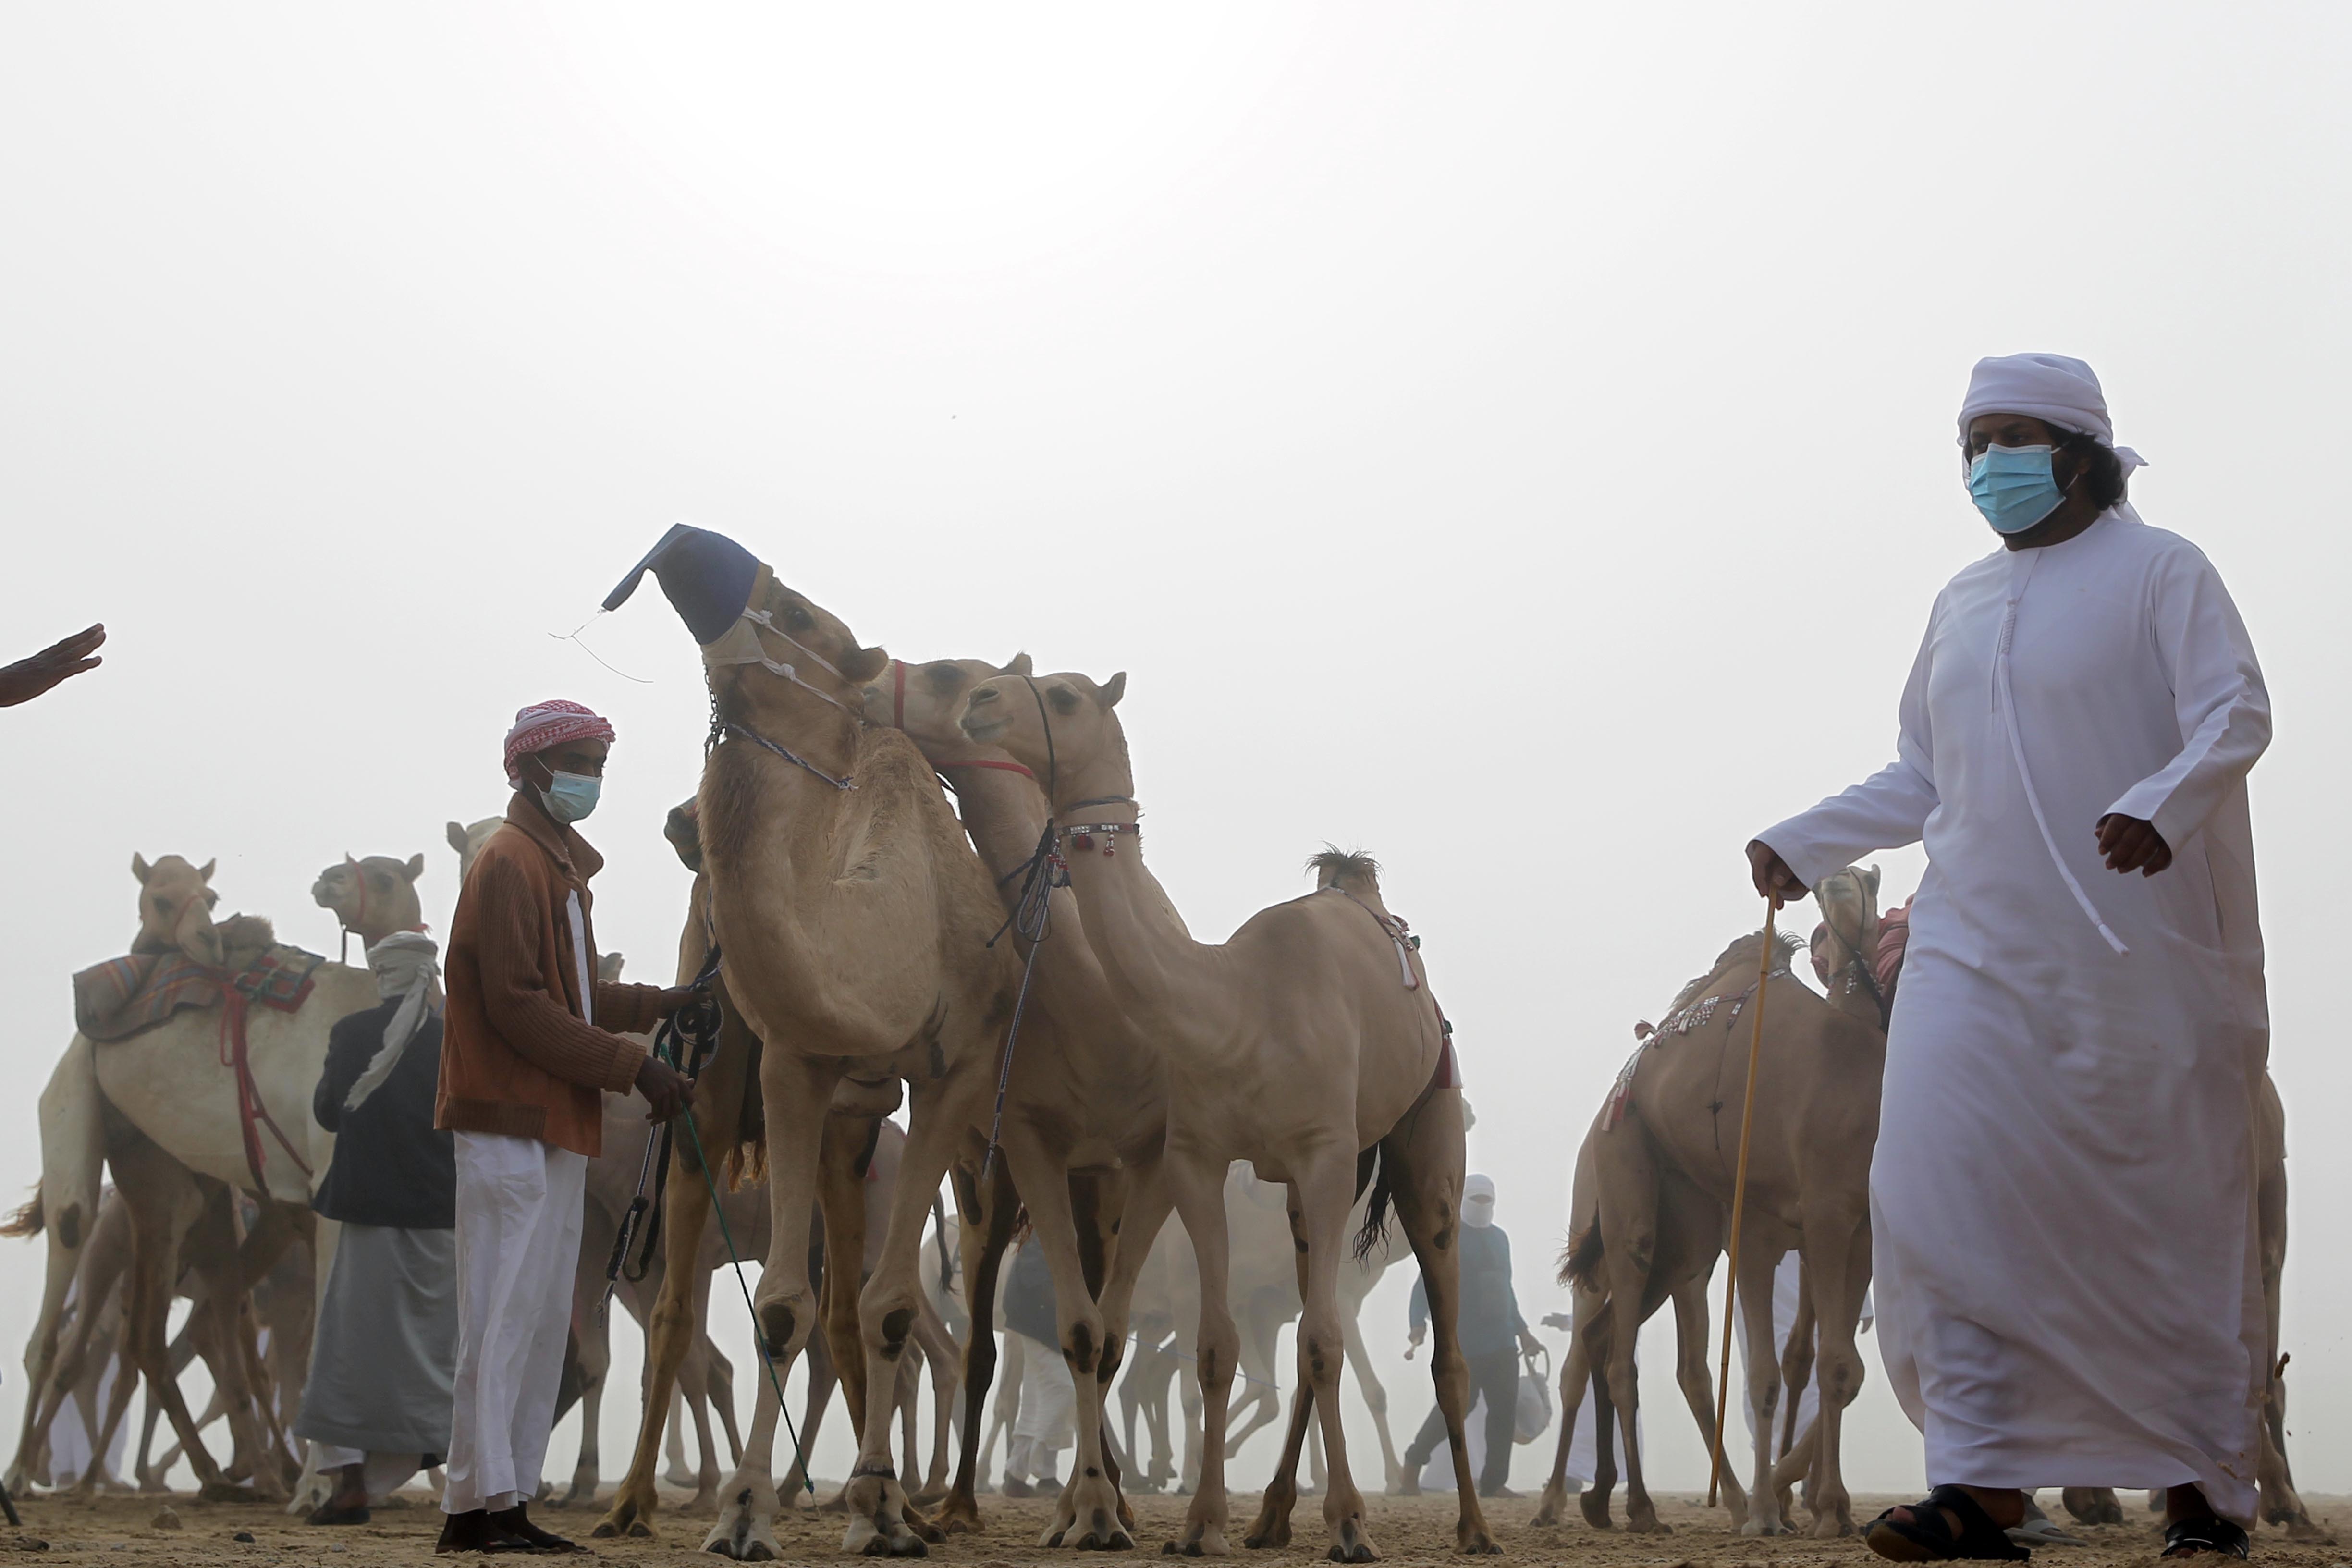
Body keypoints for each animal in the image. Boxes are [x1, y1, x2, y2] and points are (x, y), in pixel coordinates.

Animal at [950, 667, 1486, 1561]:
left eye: (1063, 695)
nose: (980, 698)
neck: (1234, 1007)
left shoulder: (1323, 1151)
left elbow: (1321, 1341)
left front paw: (1350, 1522)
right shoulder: (1198, 1157)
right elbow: (1217, 1347)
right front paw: (1202, 1522)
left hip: (1426, 1132)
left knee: (1439, 1332)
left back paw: (1472, 1523)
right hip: (1311, 1194)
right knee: (1299, 1333)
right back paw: (1270, 1514)